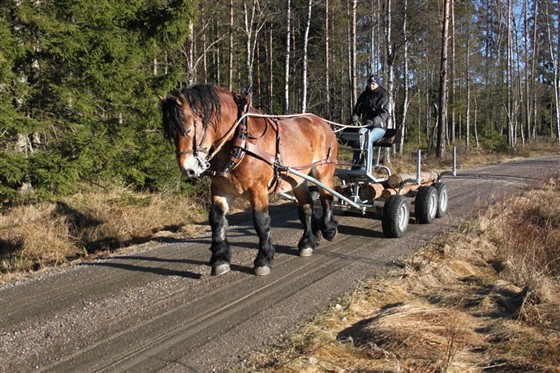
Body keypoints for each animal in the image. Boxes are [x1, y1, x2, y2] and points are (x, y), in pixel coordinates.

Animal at [160, 85, 340, 276]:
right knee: (306, 206)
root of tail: (323, 123)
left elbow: (261, 222)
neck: (240, 141)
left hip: (323, 171)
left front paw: (263, 259)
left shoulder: (257, 189)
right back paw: (307, 243)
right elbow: (216, 219)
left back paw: (329, 229)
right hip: (297, 179)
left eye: (187, 130)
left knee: (327, 198)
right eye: (171, 134)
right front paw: (220, 259)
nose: (188, 170)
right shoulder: (220, 188)